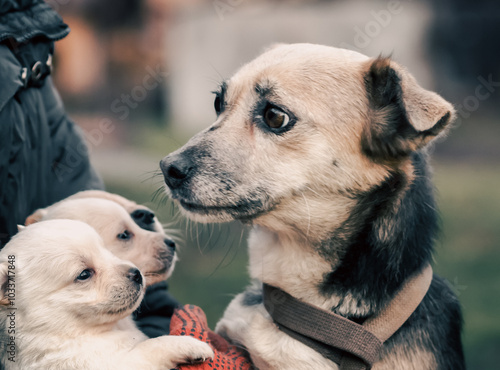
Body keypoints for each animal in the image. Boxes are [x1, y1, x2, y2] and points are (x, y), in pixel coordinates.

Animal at [0, 221, 213, 368]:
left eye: (105, 250)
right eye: (84, 274)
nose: (137, 274)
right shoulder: (112, 363)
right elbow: (151, 347)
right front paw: (191, 344)